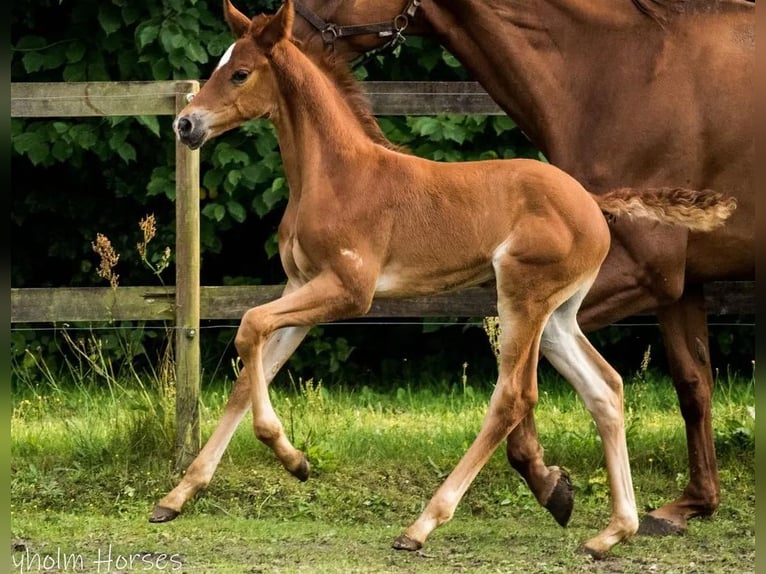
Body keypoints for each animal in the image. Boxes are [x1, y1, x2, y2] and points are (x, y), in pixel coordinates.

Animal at [153, 0, 736, 557]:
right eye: (218, 67)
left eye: (240, 73)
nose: (186, 125)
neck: (337, 174)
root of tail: (593, 201)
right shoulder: (302, 289)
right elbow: (246, 376)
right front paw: (177, 497)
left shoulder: (348, 291)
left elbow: (249, 326)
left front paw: (294, 460)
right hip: (558, 315)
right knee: (606, 388)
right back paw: (612, 533)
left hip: (521, 298)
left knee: (513, 397)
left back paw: (422, 526)